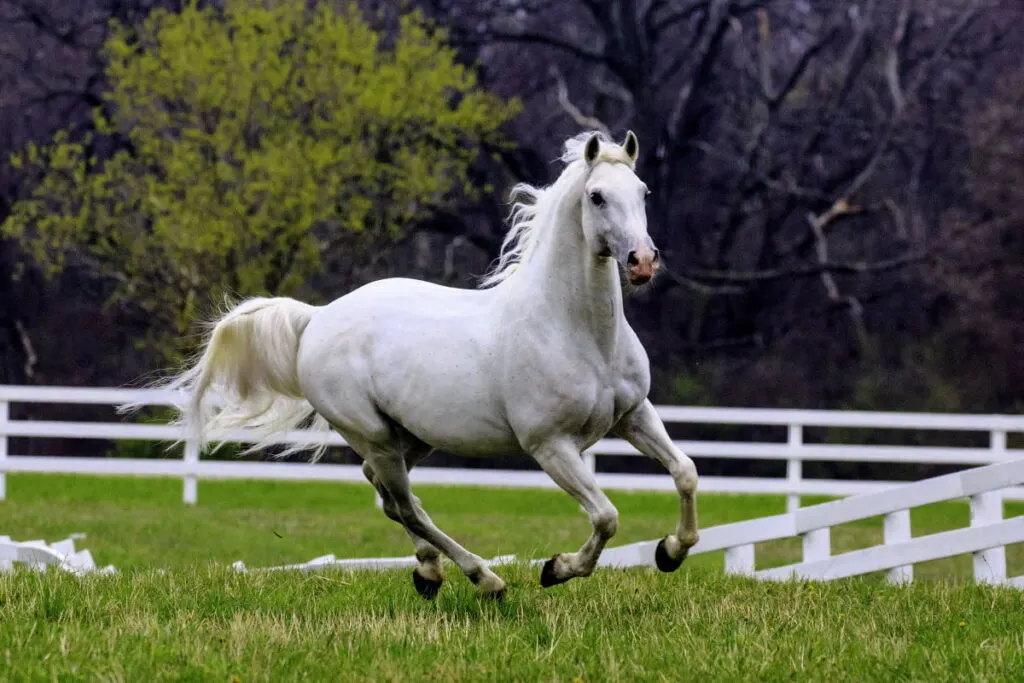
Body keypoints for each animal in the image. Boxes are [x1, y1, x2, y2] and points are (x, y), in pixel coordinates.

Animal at [149, 132, 696, 598]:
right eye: (597, 196)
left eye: (643, 191)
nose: (642, 261)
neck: (577, 331)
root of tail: (318, 318)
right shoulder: (550, 446)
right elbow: (606, 517)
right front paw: (557, 568)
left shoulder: (634, 414)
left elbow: (685, 472)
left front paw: (670, 552)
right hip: (373, 434)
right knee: (404, 504)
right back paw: (484, 579)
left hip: (410, 436)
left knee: (389, 496)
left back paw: (430, 571)